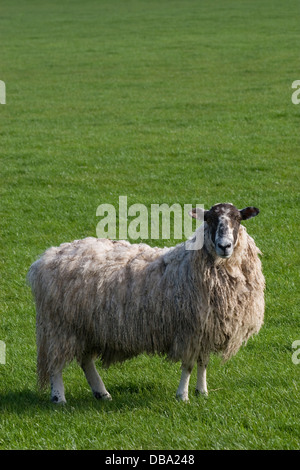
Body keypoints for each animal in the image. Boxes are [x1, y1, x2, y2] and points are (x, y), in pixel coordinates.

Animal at [27, 202, 264, 404]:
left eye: (237, 219)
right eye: (209, 219)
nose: (224, 246)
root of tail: (45, 258)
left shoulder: (206, 328)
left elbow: (202, 362)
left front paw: (202, 392)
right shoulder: (189, 329)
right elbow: (188, 365)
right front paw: (183, 396)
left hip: (84, 326)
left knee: (85, 361)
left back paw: (102, 393)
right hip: (59, 326)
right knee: (55, 362)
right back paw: (59, 398)